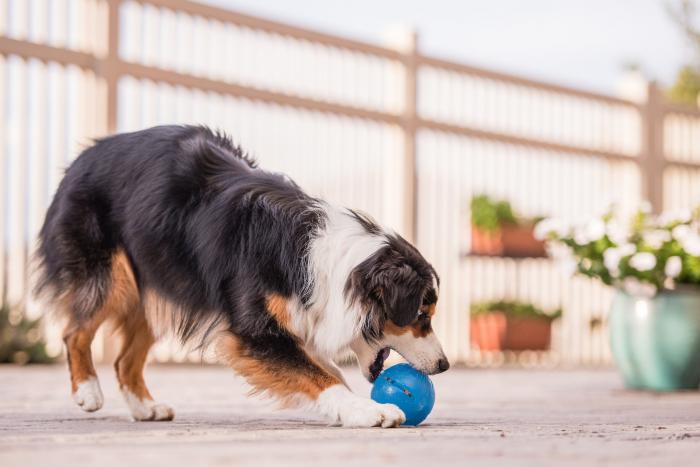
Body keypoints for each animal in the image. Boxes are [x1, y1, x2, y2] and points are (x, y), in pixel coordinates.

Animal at [34, 124, 448, 428]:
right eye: (421, 316)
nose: (444, 365)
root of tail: (82, 156)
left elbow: (316, 366)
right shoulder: (253, 331)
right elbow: (316, 373)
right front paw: (365, 409)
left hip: (160, 283)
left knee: (123, 359)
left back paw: (144, 408)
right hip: (110, 276)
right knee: (74, 332)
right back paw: (88, 392)